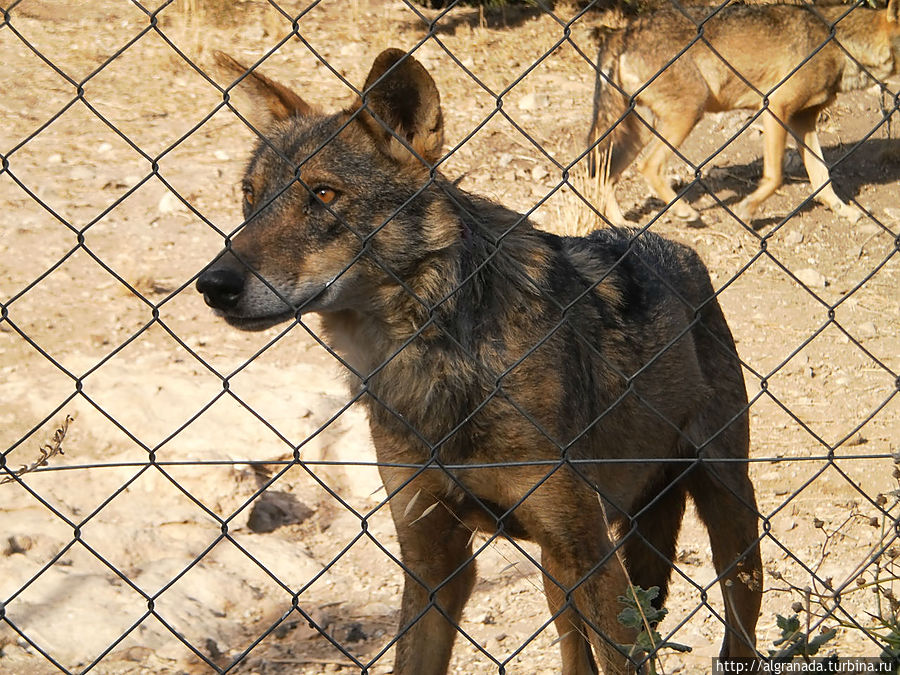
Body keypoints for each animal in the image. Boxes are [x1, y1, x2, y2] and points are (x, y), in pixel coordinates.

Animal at [195, 48, 760, 675]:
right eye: (250, 197)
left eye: (322, 194)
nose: (213, 285)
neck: (429, 361)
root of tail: (679, 251)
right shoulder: (435, 565)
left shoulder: (588, 554)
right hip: (559, 574)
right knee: (576, 652)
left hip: (726, 516)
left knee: (740, 633)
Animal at [588, 0, 900, 227]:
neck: (840, 47)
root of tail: (623, 31)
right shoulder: (775, 108)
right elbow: (775, 177)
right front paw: (748, 210)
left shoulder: (804, 121)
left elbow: (821, 176)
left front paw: (842, 210)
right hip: (687, 114)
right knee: (648, 167)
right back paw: (683, 212)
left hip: (642, 130)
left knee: (606, 175)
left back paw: (619, 225)